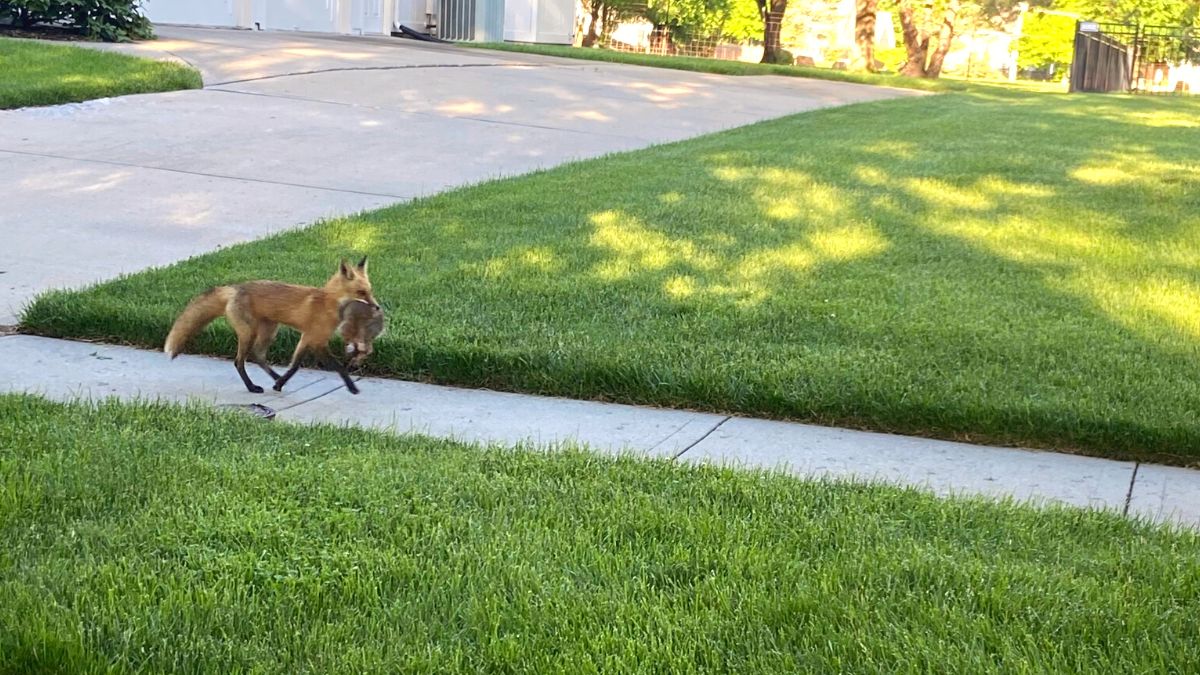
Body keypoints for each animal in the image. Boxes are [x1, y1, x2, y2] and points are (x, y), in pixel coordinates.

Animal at [163, 257, 377, 395]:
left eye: (370, 291)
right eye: (361, 292)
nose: (377, 307)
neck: (327, 303)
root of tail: (234, 288)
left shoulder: (307, 337)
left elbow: (294, 366)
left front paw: (280, 383)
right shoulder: (317, 340)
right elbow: (338, 367)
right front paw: (352, 387)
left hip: (269, 331)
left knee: (258, 356)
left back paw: (275, 378)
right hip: (249, 333)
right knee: (239, 362)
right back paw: (252, 387)